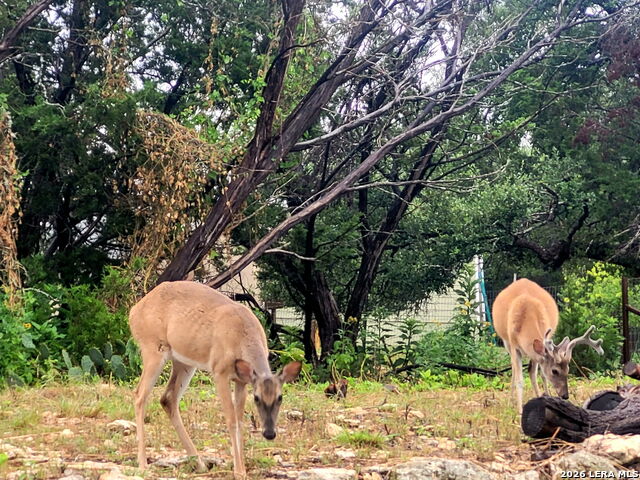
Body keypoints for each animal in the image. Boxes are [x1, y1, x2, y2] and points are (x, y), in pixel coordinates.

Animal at [129, 280, 302, 479]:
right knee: (140, 395)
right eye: (257, 398)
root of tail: (134, 311)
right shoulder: (220, 372)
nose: (270, 434)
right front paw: (239, 470)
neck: (242, 334)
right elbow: (231, 420)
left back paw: (200, 464)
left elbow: (240, 421)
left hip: (184, 362)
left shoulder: (241, 380)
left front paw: (242, 468)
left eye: (280, 397)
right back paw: (143, 464)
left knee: (168, 398)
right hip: (153, 348)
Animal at [492, 278, 604, 413]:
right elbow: (520, 380)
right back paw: (511, 401)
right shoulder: (514, 345)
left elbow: (539, 374)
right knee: (514, 369)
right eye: (555, 371)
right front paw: (520, 410)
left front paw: (543, 398)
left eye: (568, 369)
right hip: (506, 342)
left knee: (533, 372)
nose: (565, 395)